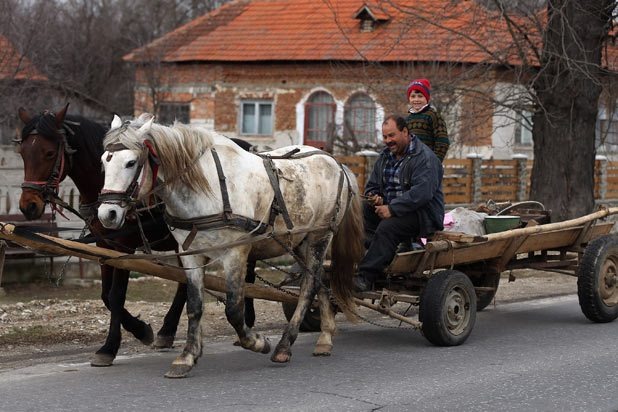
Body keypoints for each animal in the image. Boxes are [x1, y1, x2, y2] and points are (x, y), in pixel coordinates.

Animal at [98, 115, 364, 376]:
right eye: (103, 162)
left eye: (131, 163)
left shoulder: (235, 253)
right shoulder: (190, 255)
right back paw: (325, 337)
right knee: (319, 282)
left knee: (309, 287)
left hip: (320, 237)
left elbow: (234, 310)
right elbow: (194, 306)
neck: (211, 187)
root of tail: (336, 163)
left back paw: (284, 346)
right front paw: (187, 356)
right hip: (299, 242)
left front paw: (258, 342)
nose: (107, 214)